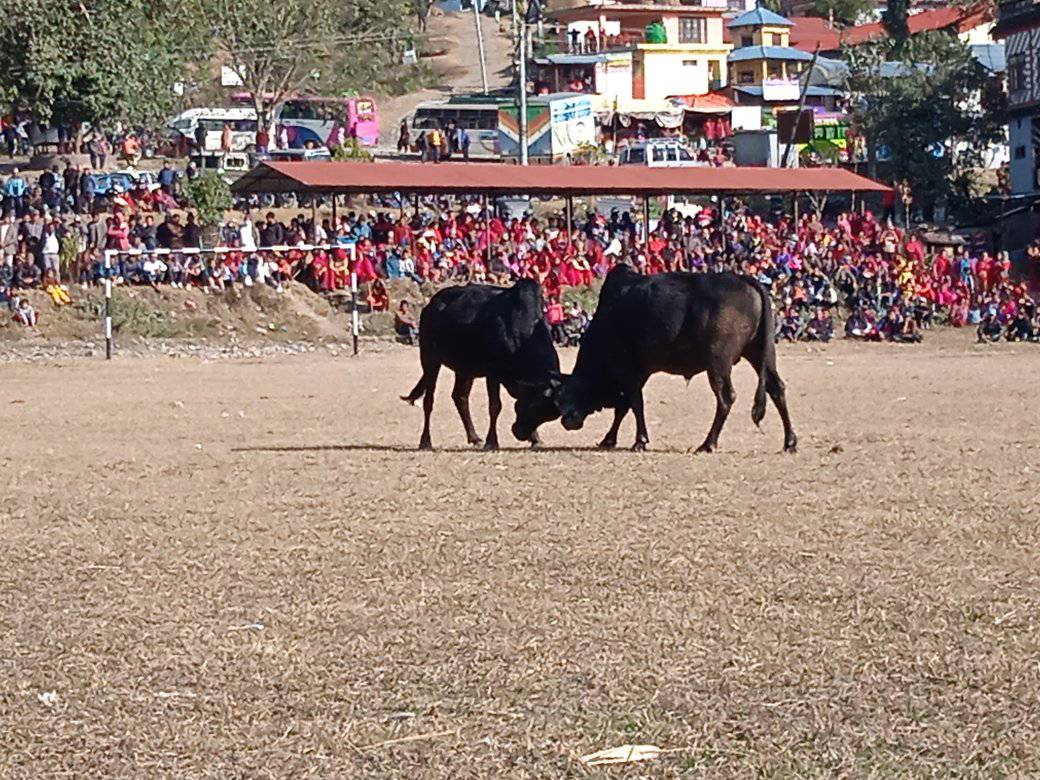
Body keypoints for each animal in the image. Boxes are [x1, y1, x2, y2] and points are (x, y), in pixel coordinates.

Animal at [515, 266, 798, 455]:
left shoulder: (627, 369)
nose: (517, 429)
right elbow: (624, 407)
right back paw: (790, 442)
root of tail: (746, 279)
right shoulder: (639, 372)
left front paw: (640, 440)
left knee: (726, 397)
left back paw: (708, 443)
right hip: (760, 354)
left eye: (533, 402)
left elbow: (634, 403)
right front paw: (610, 439)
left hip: (719, 361)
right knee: (777, 388)